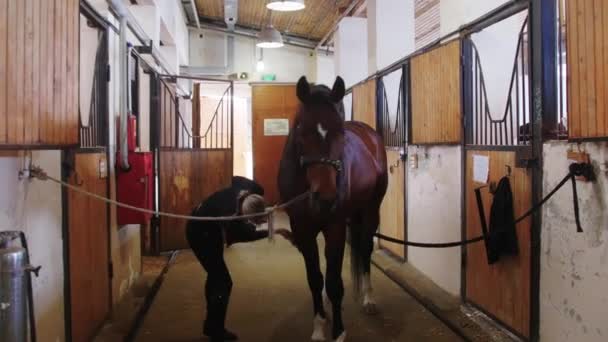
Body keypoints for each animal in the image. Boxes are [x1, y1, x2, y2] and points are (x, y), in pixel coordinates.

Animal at [278, 76, 388, 340]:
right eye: (302, 130)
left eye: (340, 133)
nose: (326, 198)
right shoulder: (303, 230)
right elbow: (316, 279)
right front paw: (319, 327)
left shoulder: (335, 226)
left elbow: (335, 283)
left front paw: (338, 332)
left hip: (371, 210)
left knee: (365, 248)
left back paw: (368, 299)